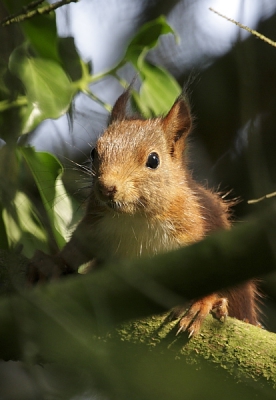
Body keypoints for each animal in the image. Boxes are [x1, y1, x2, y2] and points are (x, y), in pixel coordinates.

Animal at [29, 90, 258, 334]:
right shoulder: (94, 224)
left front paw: (202, 302)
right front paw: (52, 262)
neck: (135, 217)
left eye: (154, 160)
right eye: (93, 152)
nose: (106, 188)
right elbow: (77, 249)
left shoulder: (194, 230)